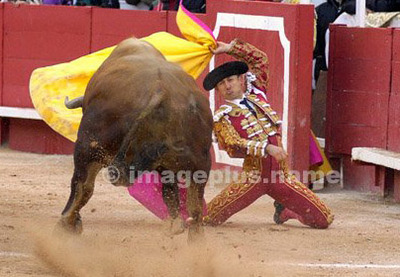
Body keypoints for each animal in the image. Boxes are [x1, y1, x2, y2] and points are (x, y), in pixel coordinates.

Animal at [59, 37, 214, 240]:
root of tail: (161, 90)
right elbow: (171, 192)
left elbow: (83, 186)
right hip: (200, 159)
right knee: (194, 206)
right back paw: (191, 237)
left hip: (88, 145)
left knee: (82, 184)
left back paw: (66, 221)